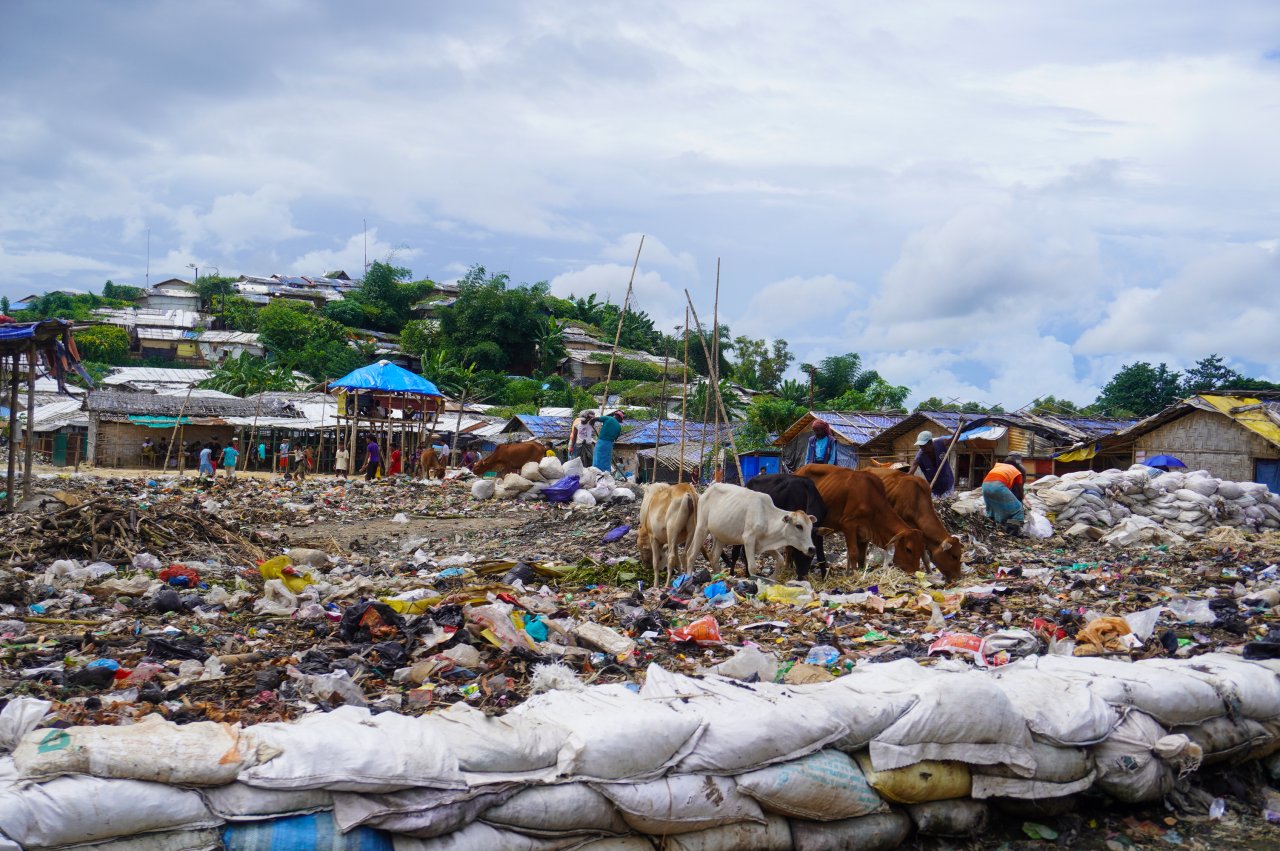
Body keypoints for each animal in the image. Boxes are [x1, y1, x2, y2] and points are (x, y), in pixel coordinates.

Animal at [686, 483, 814, 578]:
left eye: (811, 527)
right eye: (799, 526)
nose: (812, 549)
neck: (767, 516)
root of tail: (706, 491)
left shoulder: (764, 544)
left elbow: (781, 560)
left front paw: (772, 579)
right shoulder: (748, 539)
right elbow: (752, 567)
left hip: (720, 536)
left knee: (713, 557)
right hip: (701, 528)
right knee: (691, 554)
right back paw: (688, 578)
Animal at [793, 460, 926, 573]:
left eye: (921, 550)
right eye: (908, 549)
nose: (914, 572)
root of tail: (798, 470)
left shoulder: (865, 533)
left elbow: (862, 557)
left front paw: (862, 572)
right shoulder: (848, 525)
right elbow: (853, 553)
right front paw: (854, 574)